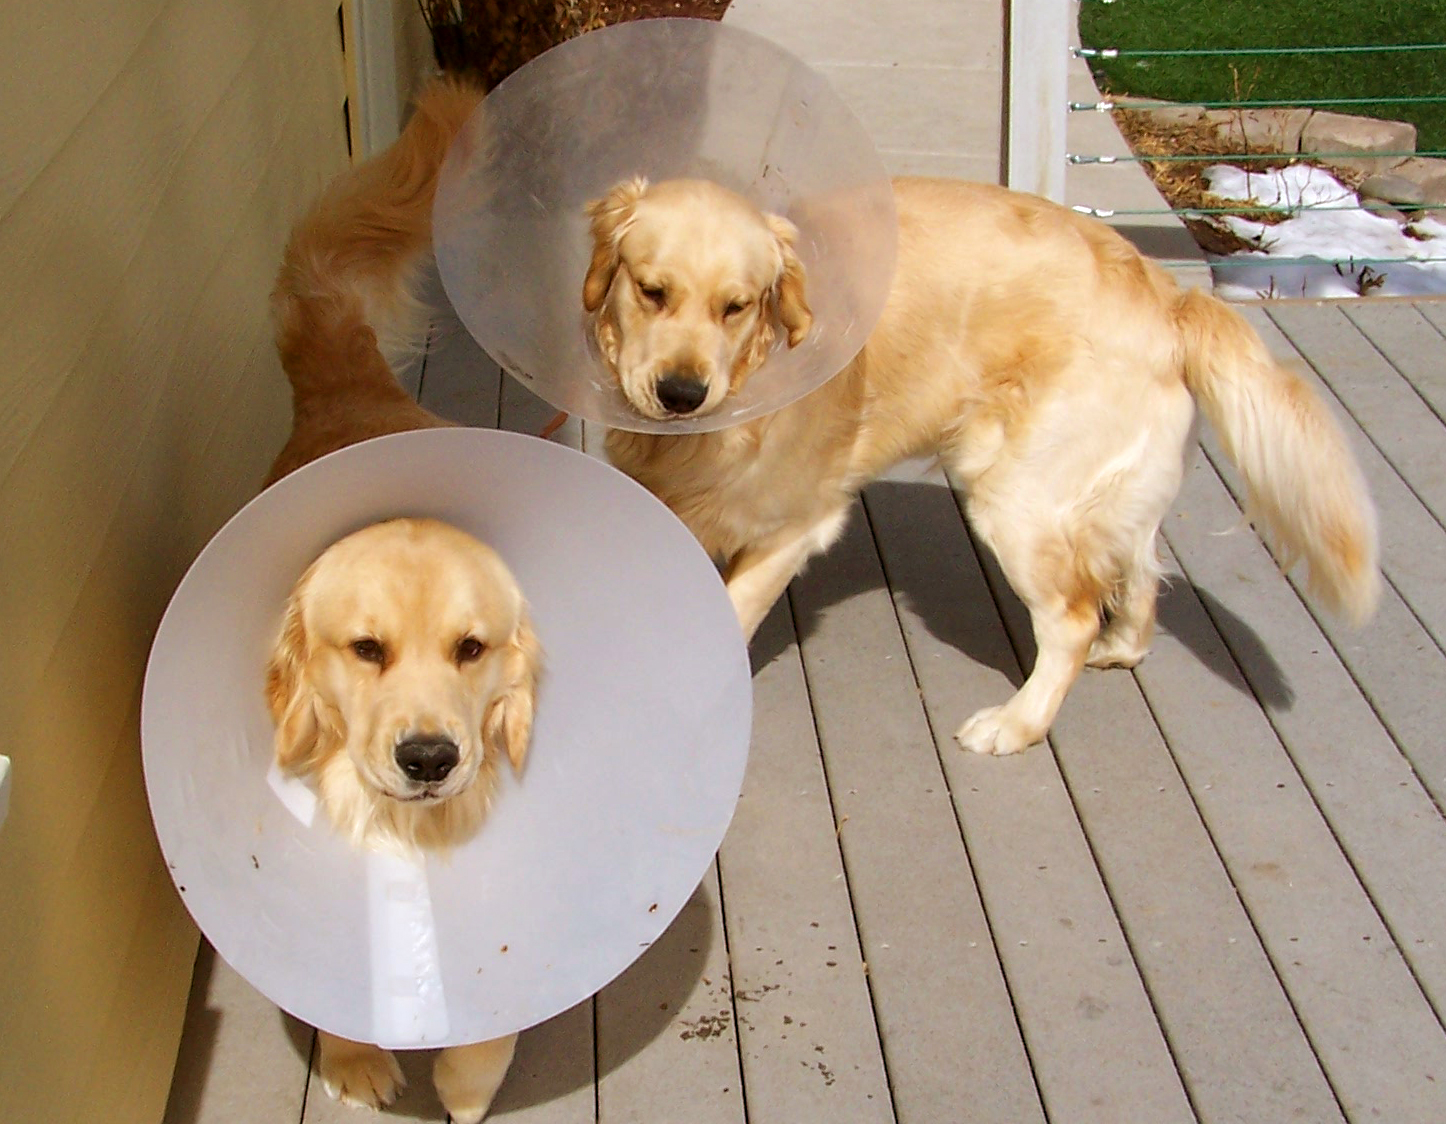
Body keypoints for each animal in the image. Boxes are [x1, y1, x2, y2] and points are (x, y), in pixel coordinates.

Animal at [583, 175, 1381, 756]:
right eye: (651, 291)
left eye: (737, 307)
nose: (681, 394)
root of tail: (1173, 295)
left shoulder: (792, 528)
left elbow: (724, 617)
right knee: (1141, 565)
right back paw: (1124, 648)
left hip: (1015, 495)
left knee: (1072, 618)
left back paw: (1017, 724)